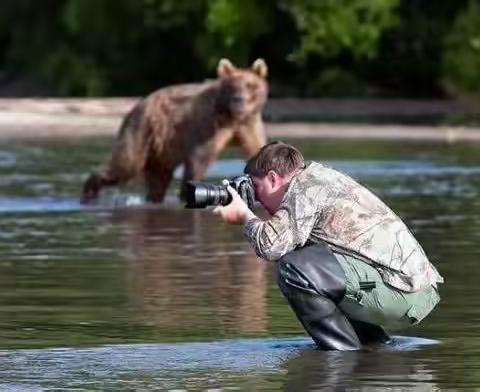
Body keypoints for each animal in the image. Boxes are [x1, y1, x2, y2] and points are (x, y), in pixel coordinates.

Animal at [82, 59, 270, 205]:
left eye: (250, 85)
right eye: (232, 86)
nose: (239, 100)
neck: (233, 117)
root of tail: (136, 106)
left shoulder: (249, 125)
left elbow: (257, 149)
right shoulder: (208, 124)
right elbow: (199, 159)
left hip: (162, 147)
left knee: (158, 179)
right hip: (142, 131)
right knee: (125, 165)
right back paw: (89, 193)